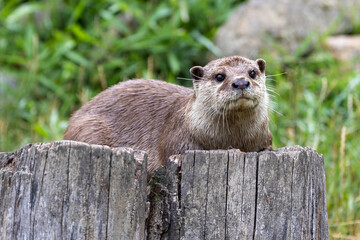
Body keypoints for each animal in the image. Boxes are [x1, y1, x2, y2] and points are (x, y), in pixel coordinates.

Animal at [64, 55, 272, 176]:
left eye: (252, 73)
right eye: (220, 76)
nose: (241, 82)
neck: (232, 139)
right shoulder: (178, 138)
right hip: (88, 127)